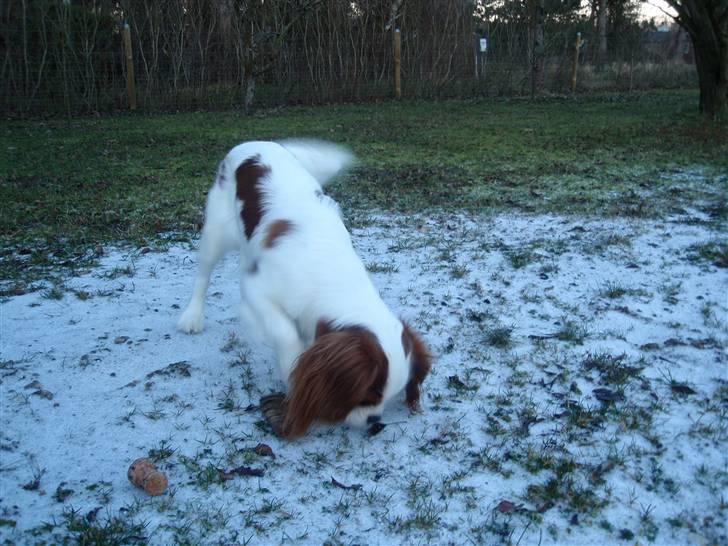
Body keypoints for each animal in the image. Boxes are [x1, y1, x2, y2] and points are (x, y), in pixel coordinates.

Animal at [177, 140, 430, 438]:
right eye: (365, 397)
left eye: (388, 399)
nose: (375, 423)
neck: (335, 279)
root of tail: (258, 142)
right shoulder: (257, 289)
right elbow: (285, 333)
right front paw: (291, 370)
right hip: (218, 231)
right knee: (203, 274)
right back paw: (192, 316)